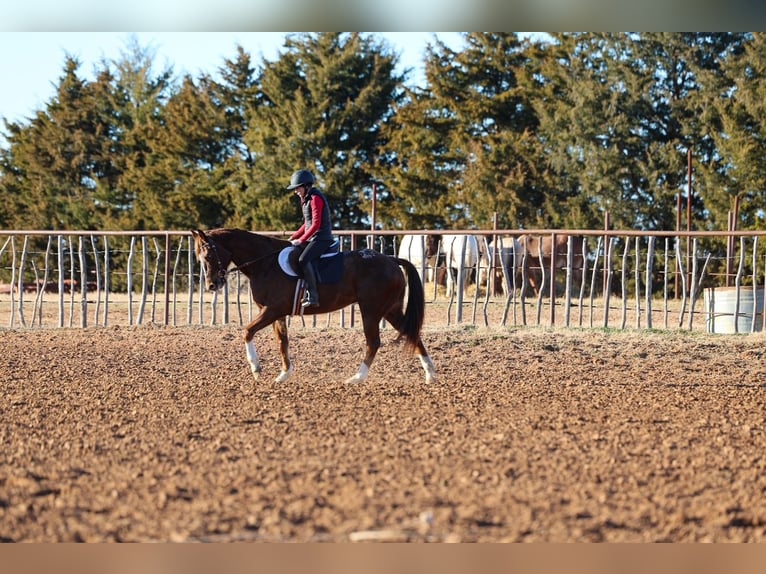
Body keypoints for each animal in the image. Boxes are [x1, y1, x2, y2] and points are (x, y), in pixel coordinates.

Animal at [191, 229, 437, 386]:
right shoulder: (278, 314)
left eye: (209, 253)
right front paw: (284, 375)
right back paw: (430, 375)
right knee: (412, 333)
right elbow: (283, 342)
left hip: (371, 311)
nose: (212, 284)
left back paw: (357, 378)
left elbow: (248, 331)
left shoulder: (271, 310)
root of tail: (391, 260)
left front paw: (256, 368)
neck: (265, 263)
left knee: (374, 343)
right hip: (391, 310)